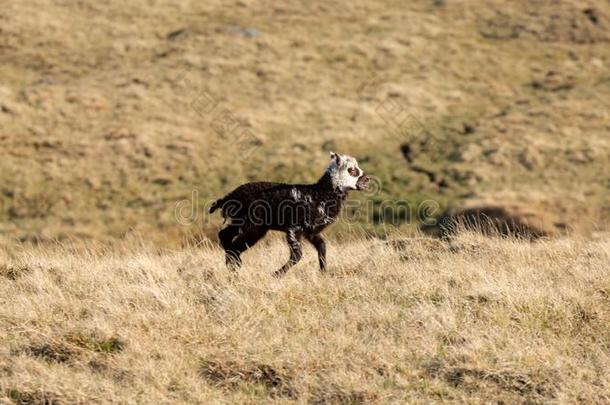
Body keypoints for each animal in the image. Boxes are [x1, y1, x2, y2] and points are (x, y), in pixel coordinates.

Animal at [209, 150, 368, 276]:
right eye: (352, 170)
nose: (367, 179)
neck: (319, 194)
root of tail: (230, 196)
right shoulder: (294, 228)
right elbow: (297, 255)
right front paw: (276, 274)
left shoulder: (310, 232)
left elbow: (322, 247)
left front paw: (323, 272)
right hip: (252, 225)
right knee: (234, 242)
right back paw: (235, 266)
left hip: (244, 222)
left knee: (225, 236)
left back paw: (231, 264)